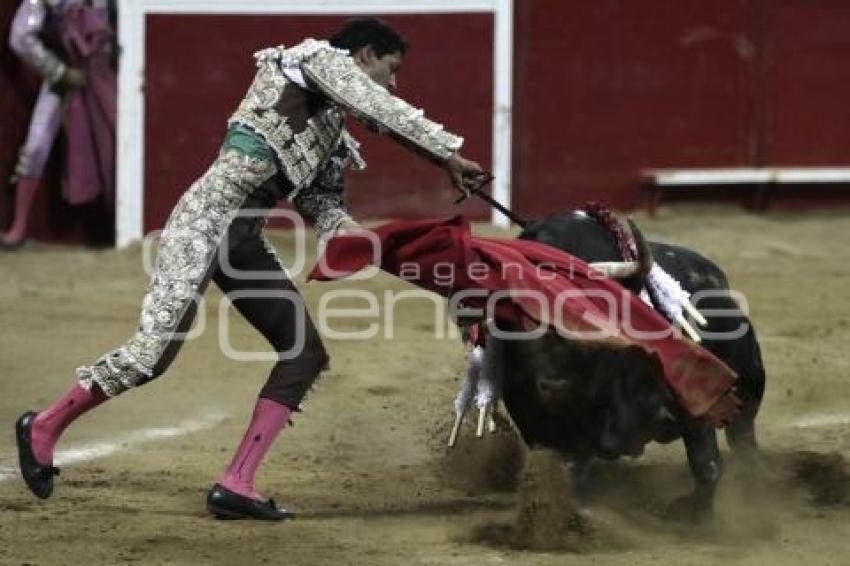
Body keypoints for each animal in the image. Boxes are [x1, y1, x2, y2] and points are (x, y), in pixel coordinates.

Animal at [486, 213, 764, 524]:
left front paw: (693, 516)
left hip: (748, 395)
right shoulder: (540, 422)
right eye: (516, 322)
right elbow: (568, 473)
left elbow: (708, 465)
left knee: (743, 443)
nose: (552, 384)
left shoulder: (695, 401)